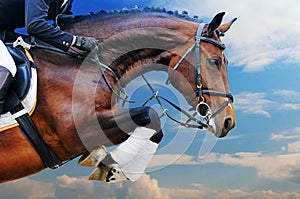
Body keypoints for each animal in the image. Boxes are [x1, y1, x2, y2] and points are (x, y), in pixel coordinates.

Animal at [0, 8, 237, 183]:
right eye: (214, 61)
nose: (229, 121)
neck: (77, 61)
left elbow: (153, 126)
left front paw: (109, 168)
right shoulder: (72, 129)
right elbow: (150, 115)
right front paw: (108, 167)